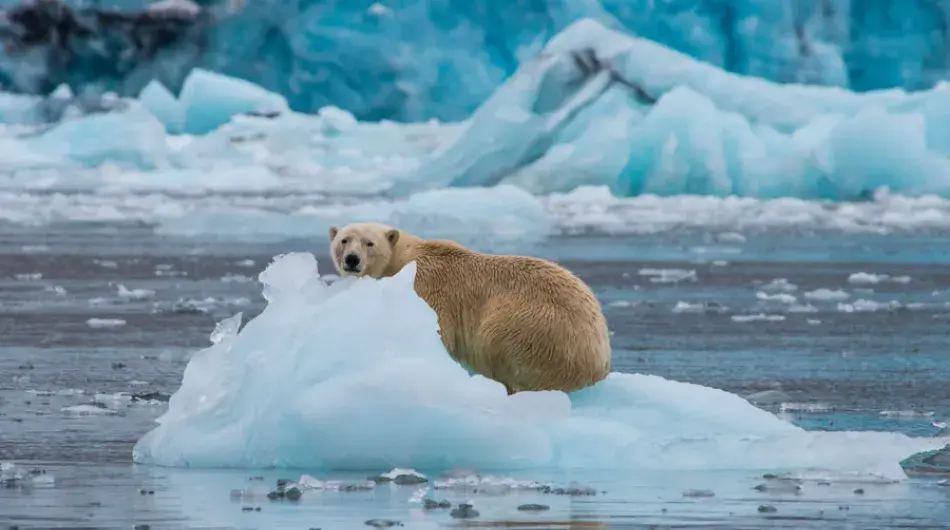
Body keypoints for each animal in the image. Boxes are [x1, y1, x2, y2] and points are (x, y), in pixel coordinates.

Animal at [328, 221, 612, 395]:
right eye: (344, 240)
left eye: (369, 243)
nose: (351, 260)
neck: (406, 259)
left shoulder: (429, 288)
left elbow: (439, 331)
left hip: (534, 329)